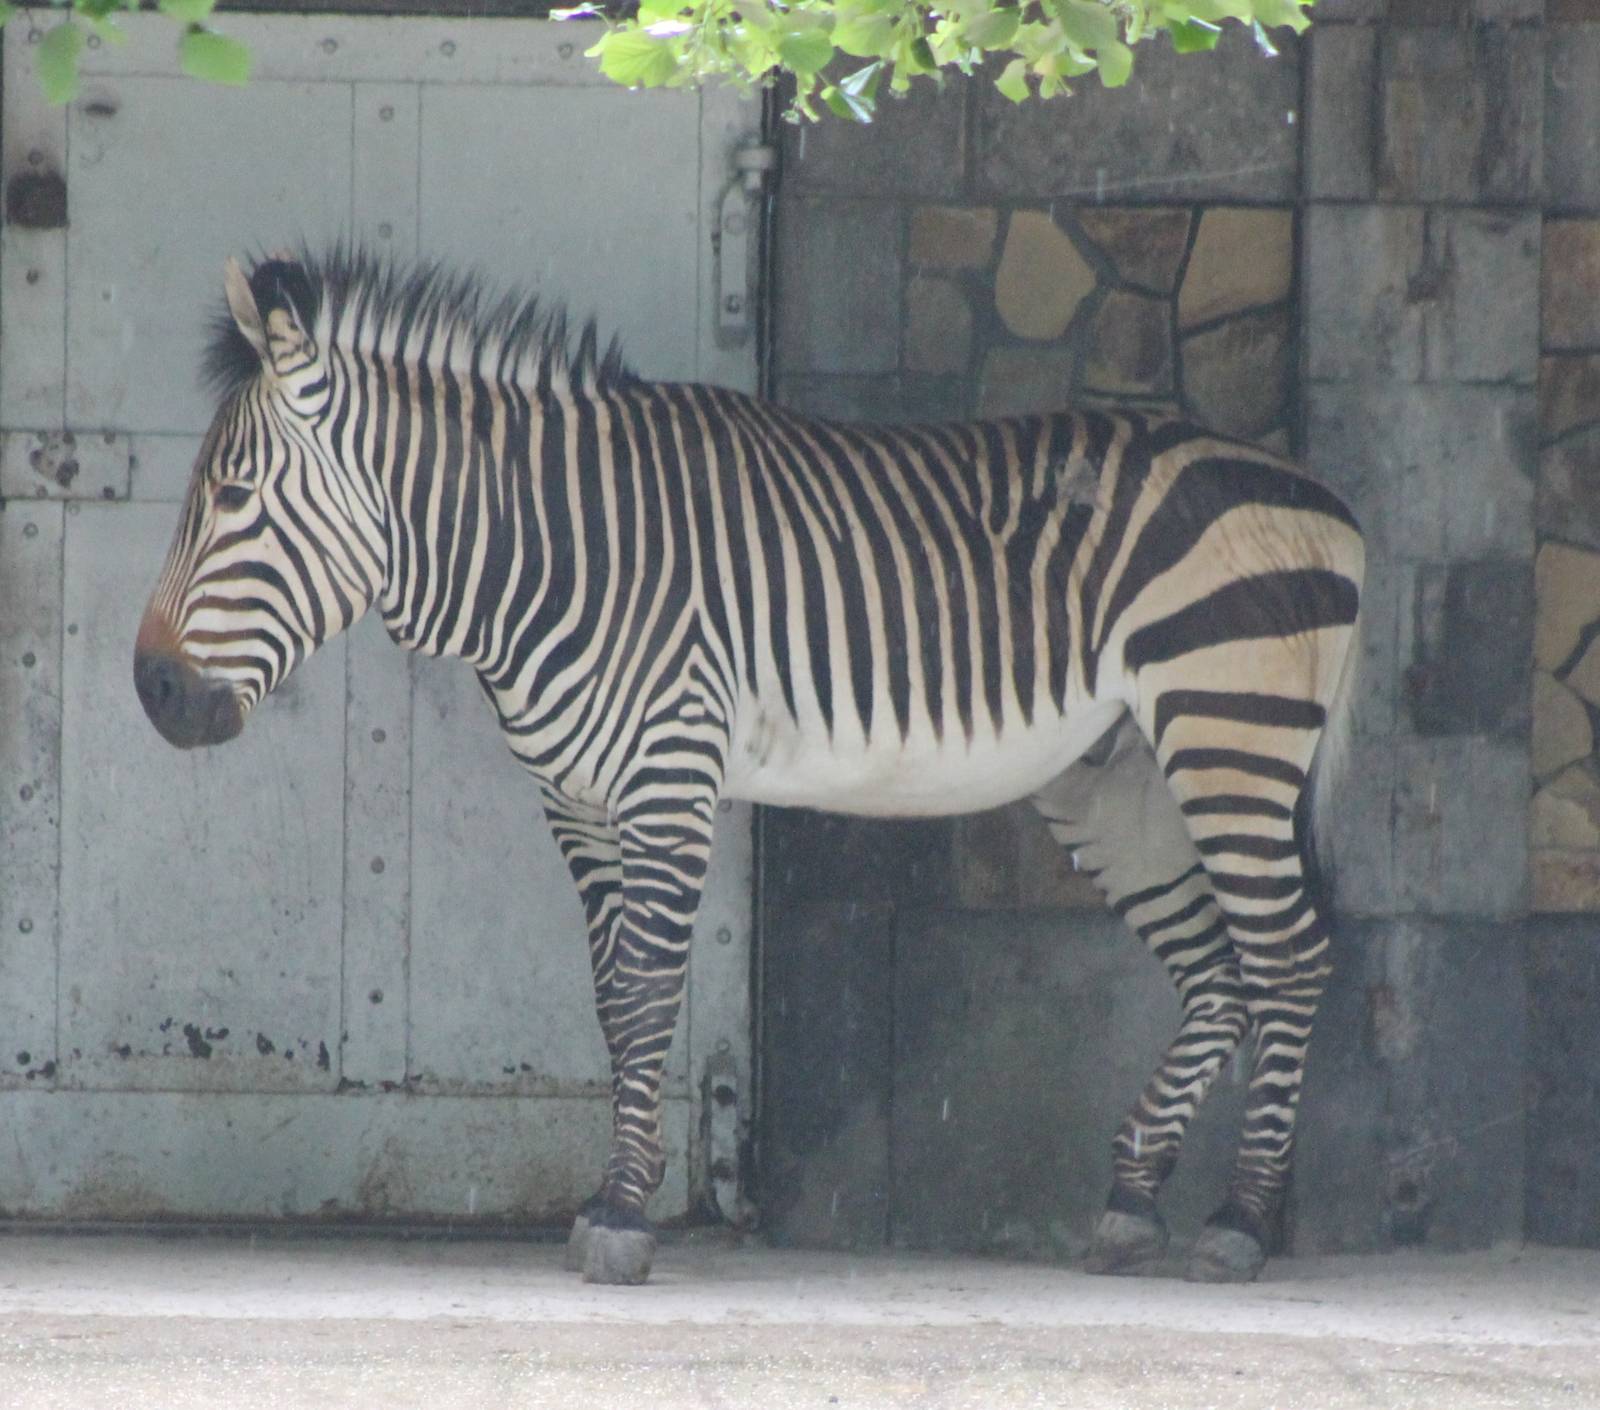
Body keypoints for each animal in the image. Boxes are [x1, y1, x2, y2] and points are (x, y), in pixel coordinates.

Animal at [134, 249, 1363, 1287]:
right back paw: (1131, 1201)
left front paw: (621, 1219)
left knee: (1290, 959)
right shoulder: (577, 802)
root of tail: (1323, 494)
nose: (150, 691)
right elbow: (613, 1001)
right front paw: (611, 1194)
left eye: (232, 498)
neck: (561, 553)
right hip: (1122, 778)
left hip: (1230, 732)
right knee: (1216, 974)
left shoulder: (668, 777)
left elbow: (646, 987)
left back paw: (1240, 1223)